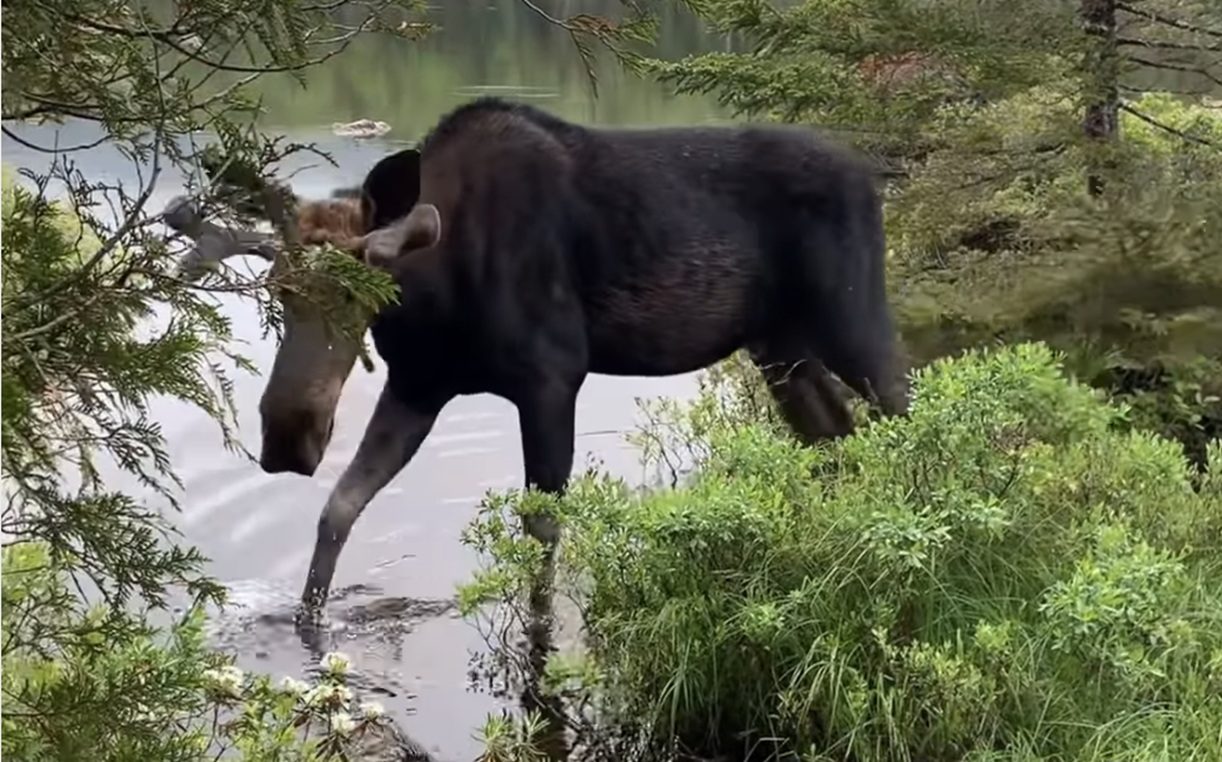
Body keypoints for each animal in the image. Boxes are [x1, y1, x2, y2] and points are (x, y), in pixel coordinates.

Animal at [167, 97, 910, 620]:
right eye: (277, 290)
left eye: (363, 292)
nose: (288, 436)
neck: (437, 292)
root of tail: (871, 178)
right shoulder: (418, 386)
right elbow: (340, 508)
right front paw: (307, 620)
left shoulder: (553, 377)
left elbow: (540, 531)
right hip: (777, 345)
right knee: (835, 435)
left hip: (850, 315)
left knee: (903, 408)